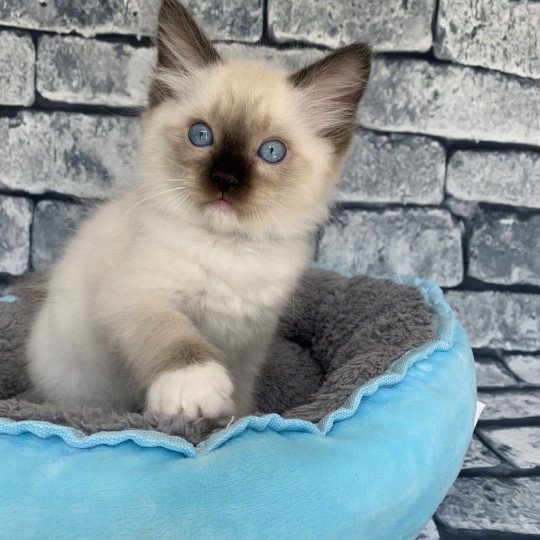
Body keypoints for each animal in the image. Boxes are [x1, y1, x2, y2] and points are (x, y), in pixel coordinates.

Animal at [25, 0, 372, 422]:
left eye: (272, 152)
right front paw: (195, 389)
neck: (228, 250)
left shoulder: (248, 340)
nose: (225, 180)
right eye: (201, 135)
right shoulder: (135, 296)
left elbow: (240, 398)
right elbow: (174, 334)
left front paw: (233, 421)